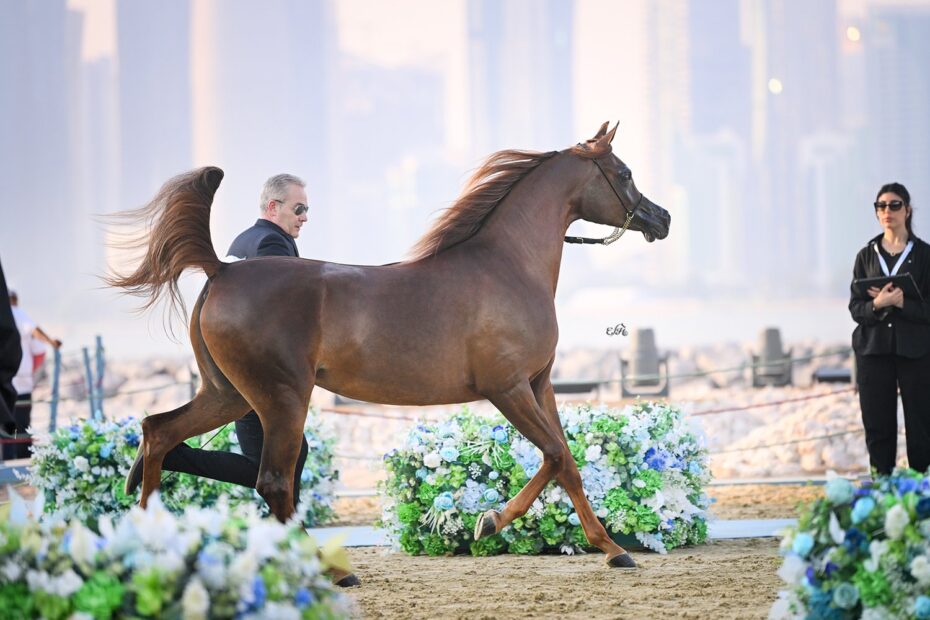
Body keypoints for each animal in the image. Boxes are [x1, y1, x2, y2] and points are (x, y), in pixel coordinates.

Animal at [110, 121, 668, 568]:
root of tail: (222, 270)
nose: (661, 219)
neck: (507, 265)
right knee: (271, 481)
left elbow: (568, 463)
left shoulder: (540, 384)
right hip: (281, 399)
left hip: (227, 394)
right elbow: (553, 454)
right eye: (623, 173)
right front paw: (488, 522)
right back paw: (332, 571)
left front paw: (612, 551)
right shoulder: (507, 388)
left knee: (160, 432)